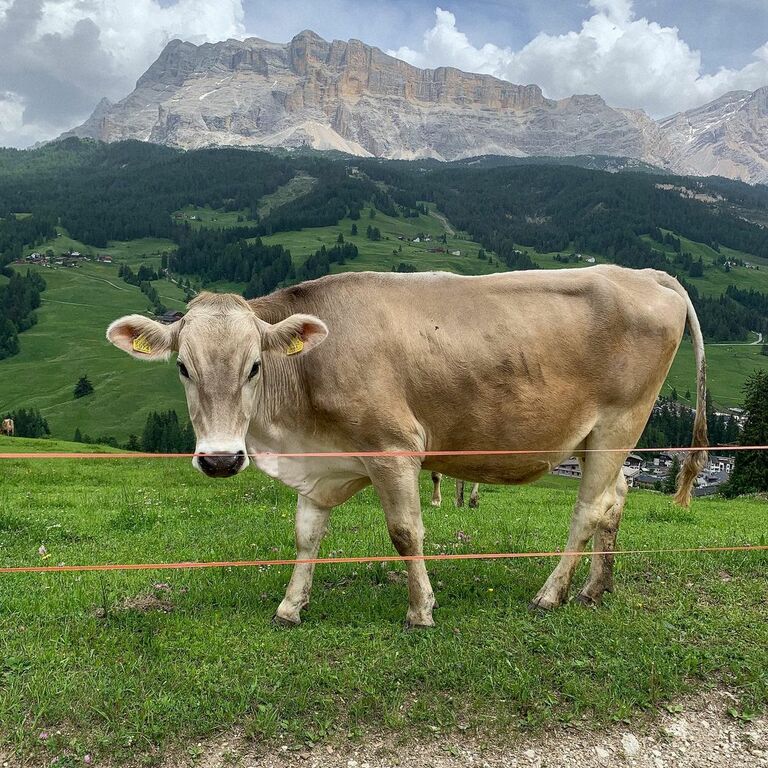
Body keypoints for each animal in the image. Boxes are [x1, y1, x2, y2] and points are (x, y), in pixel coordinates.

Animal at [106, 266, 707, 628]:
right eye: (183, 368)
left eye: (254, 365)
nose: (220, 458)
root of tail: (643, 273)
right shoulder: (323, 466)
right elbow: (306, 536)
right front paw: (290, 606)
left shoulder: (394, 448)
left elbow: (404, 533)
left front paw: (421, 610)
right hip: (598, 438)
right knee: (617, 498)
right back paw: (596, 588)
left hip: (618, 423)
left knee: (588, 510)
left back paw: (551, 594)